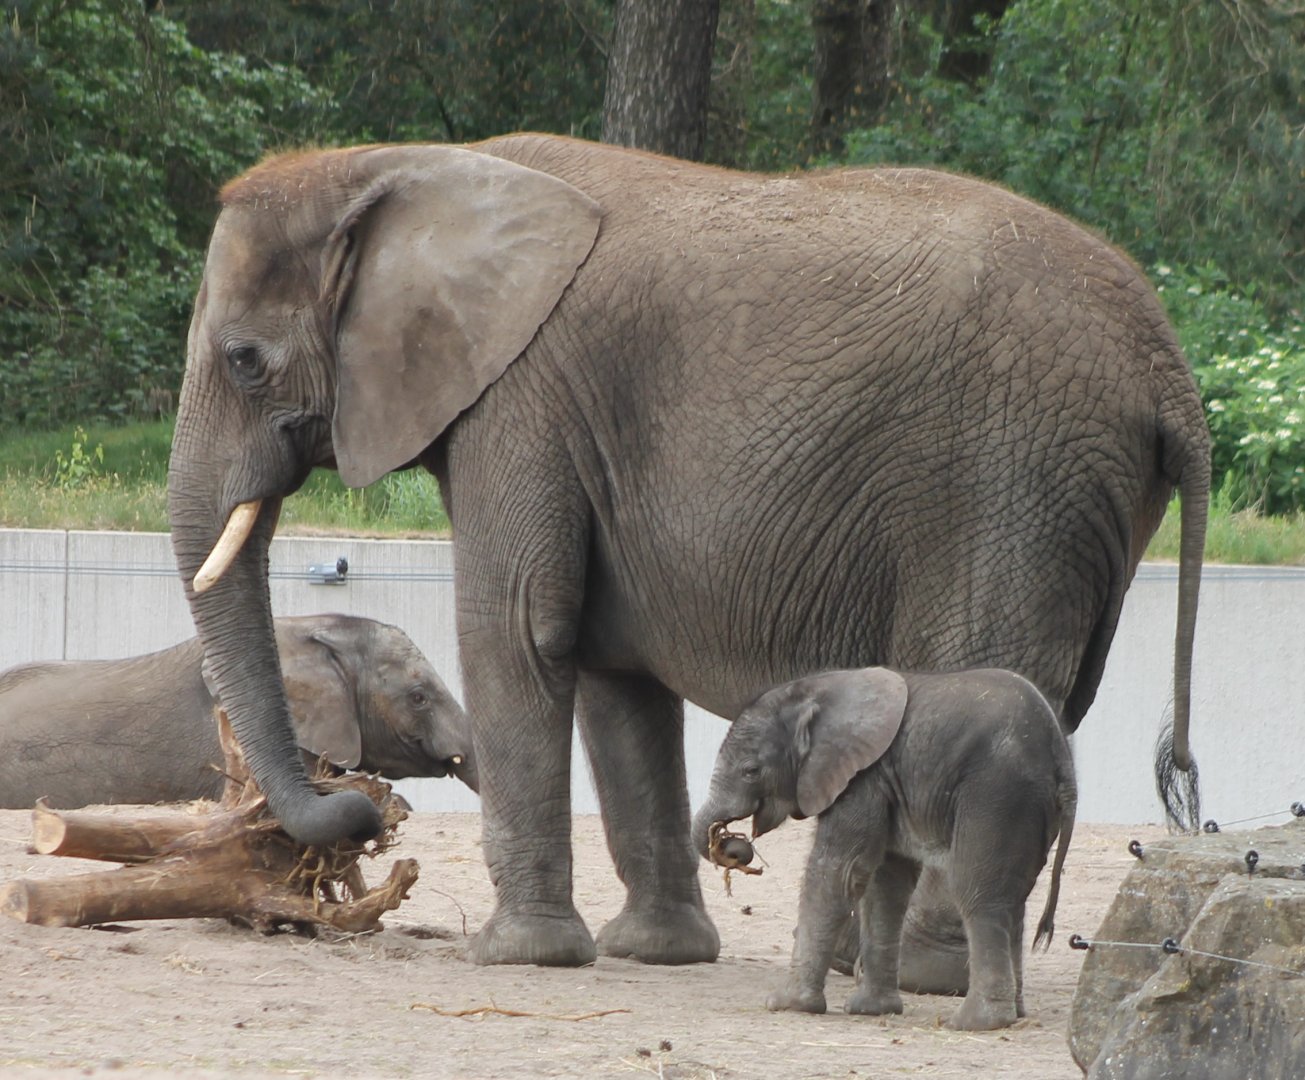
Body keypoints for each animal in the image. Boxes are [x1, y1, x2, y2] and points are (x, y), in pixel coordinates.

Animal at [166, 133, 1208, 975]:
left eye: (244, 361)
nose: (365, 810)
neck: (397, 166)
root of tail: (1171, 371)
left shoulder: (520, 400)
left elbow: (517, 632)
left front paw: (519, 958)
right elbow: (612, 671)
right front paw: (653, 955)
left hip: (1011, 483)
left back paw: (922, 978)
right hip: (1073, 504)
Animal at [691, 666, 1076, 1030]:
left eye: (750, 770)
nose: (734, 843)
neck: (818, 690)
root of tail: (1062, 759)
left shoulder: (863, 777)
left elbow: (838, 872)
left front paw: (786, 1004)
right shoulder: (884, 782)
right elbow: (885, 884)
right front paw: (871, 1010)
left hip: (998, 794)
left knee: (977, 891)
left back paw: (975, 1024)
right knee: (1012, 901)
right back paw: (1014, 1014)